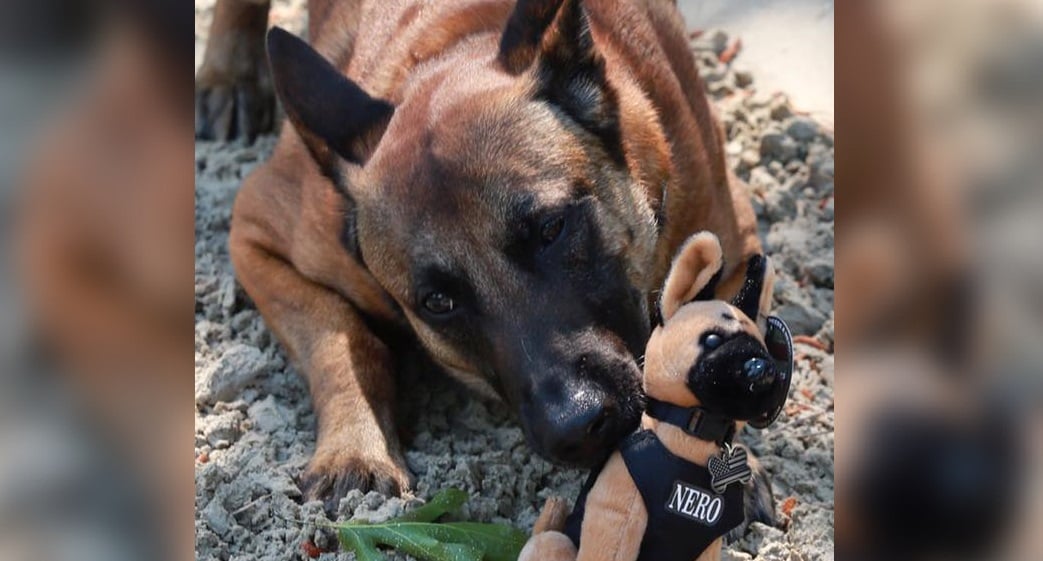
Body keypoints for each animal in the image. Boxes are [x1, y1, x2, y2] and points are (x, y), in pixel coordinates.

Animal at [209, 0, 762, 510]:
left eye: (552, 228)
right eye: (437, 302)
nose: (577, 426)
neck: (448, 50)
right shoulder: (255, 233)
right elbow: (341, 339)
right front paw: (355, 448)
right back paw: (228, 70)